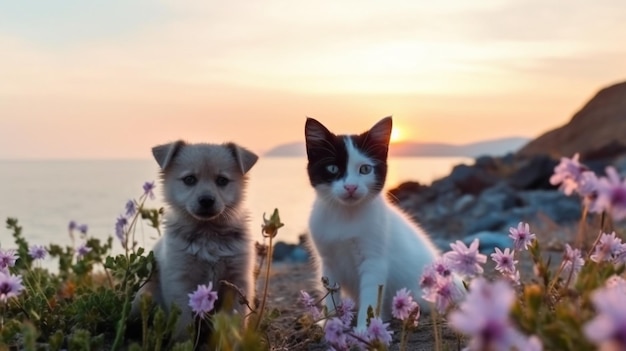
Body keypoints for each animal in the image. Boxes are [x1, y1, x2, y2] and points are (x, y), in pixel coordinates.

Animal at [304, 117, 442, 328]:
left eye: (365, 169)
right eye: (333, 168)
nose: (351, 187)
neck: (346, 215)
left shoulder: (374, 260)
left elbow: (370, 295)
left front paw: (365, 329)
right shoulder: (328, 262)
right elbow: (331, 294)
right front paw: (330, 324)